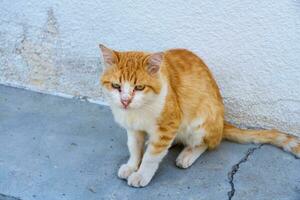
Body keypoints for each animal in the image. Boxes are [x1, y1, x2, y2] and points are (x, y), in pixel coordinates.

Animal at [99, 44, 300, 188]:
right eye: (116, 86)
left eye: (139, 87)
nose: (125, 101)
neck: (138, 111)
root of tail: (222, 122)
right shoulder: (133, 128)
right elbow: (134, 146)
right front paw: (132, 165)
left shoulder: (169, 124)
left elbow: (151, 157)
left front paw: (141, 174)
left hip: (201, 119)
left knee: (208, 143)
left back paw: (188, 154)